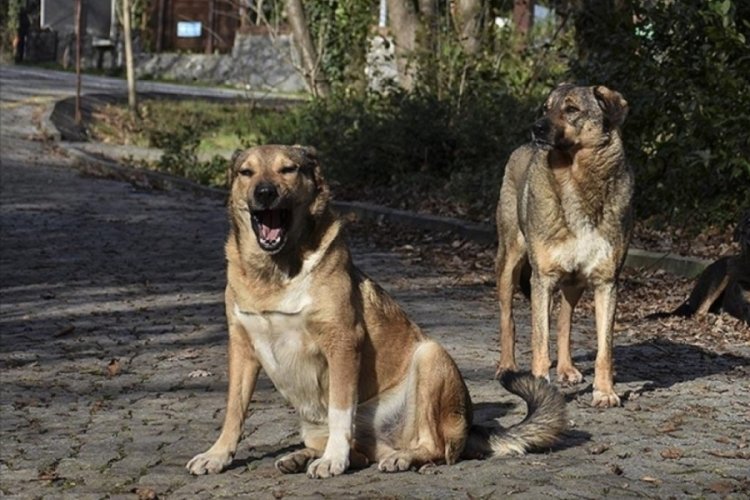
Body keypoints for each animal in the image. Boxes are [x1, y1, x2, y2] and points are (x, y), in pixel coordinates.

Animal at [496, 85, 636, 406]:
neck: (576, 180)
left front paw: (605, 392)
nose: (536, 128)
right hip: (510, 264)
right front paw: (539, 387)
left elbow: (604, 349)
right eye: (545, 108)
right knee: (508, 319)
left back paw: (566, 368)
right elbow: (539, 340)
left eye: (571, 109)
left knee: (564, 321)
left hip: (574, 283)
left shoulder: (606, 282)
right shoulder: (543, 279)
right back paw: (507, 367)